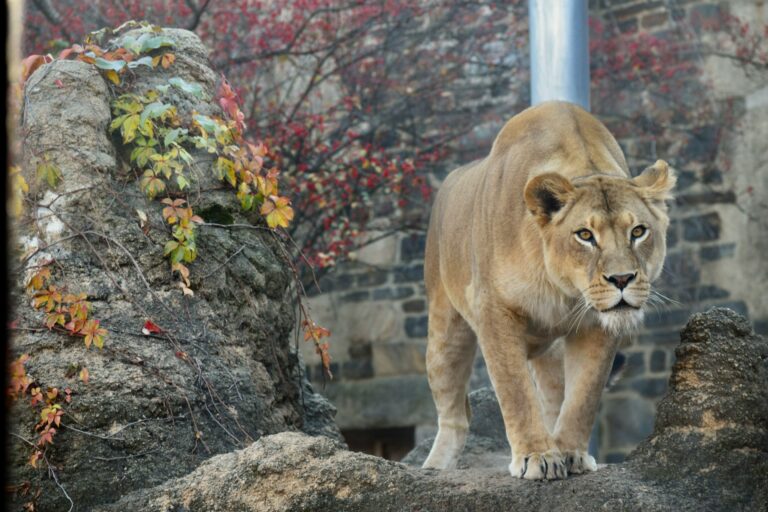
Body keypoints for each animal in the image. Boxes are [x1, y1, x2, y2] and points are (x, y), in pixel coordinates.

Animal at [422, 101, 675, 480]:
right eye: (585, 235)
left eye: (638, 231)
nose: (621, 280)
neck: (564, 291)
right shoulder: (493, 311)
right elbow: (515, 392)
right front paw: (536, 456)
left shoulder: (597, 325)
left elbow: (583, 396)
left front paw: (570, 453)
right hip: (445, 333)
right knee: (454, 416)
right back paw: (434, 468)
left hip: (551, 354)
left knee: (554, 398)